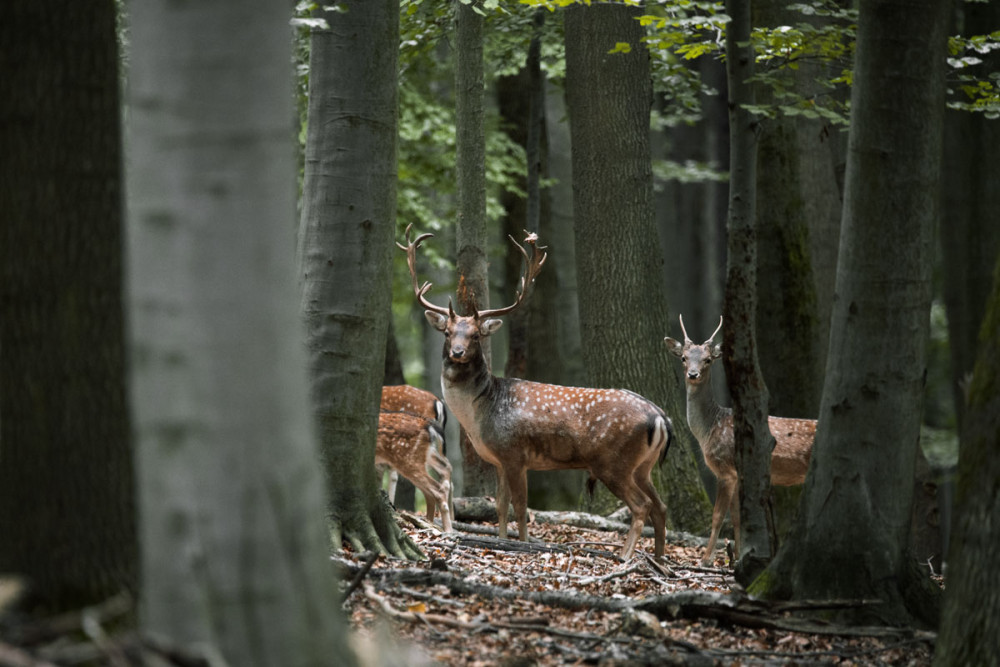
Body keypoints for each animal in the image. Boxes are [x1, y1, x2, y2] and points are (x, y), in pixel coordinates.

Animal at [398, 224, 672, 560]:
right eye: (448, 333)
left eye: (475, 335)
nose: (458, 352)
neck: (481, 412)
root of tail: (660, 417)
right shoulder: (500, 460)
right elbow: (501, 506)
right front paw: (504, 541)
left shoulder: (514, 453)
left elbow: (520, 507)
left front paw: (523, 544)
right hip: (643, 466)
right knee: (661, 506)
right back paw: (659, 559)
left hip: (613, 462)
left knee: (642, 506)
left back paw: (625, 557)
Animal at [660, 316, 816, 568]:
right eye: (683, 357)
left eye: (707, 360)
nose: (693, 374)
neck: (709, 429)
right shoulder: (735, 475)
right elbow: (736, 518)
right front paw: (737, 558)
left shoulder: (724, 469)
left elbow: (717, 516)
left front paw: (705, 560)